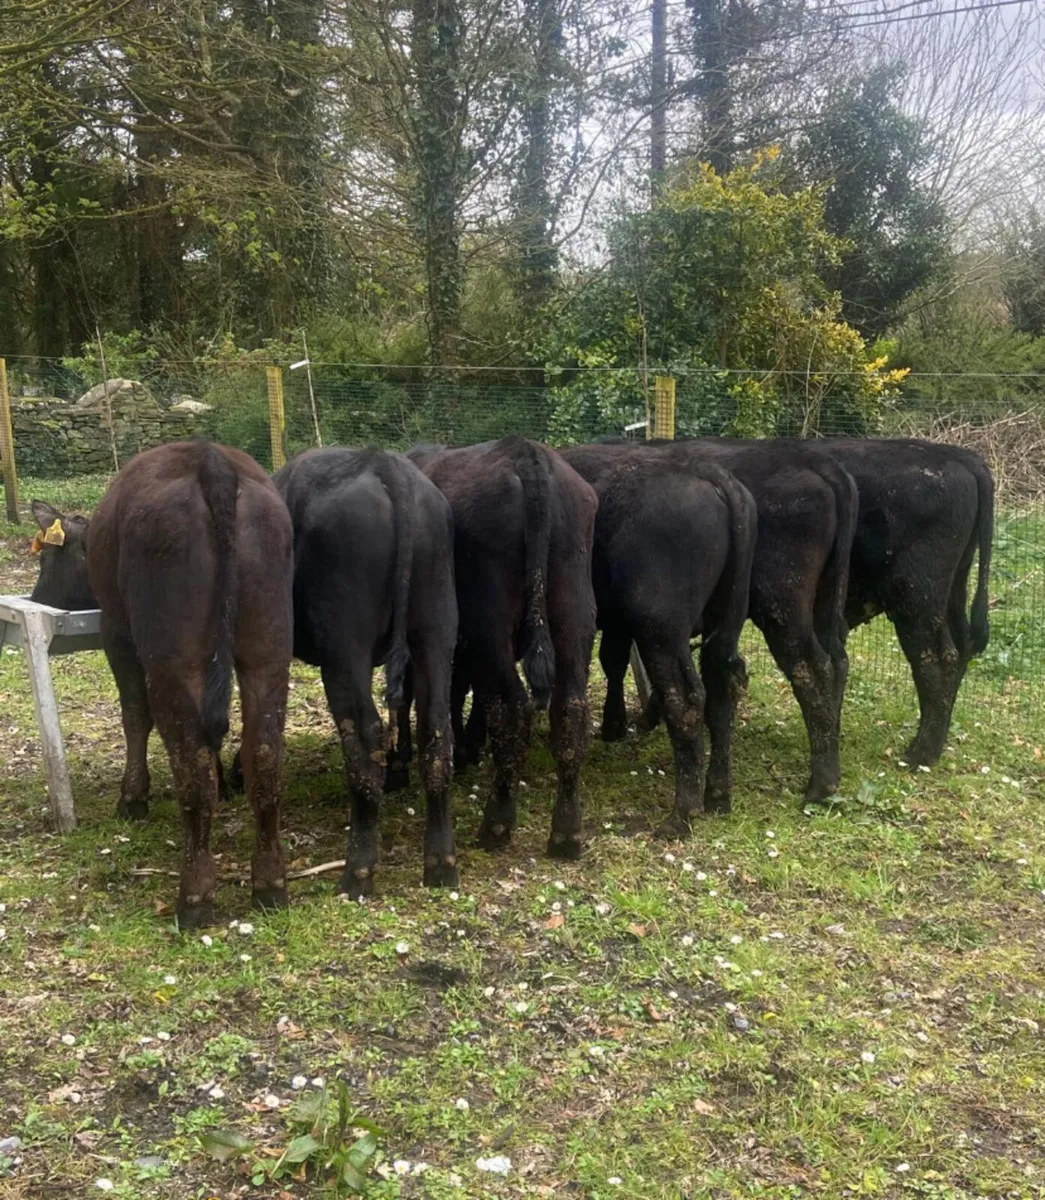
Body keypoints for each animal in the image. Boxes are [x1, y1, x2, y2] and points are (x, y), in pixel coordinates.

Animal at [30, 441, 294, 928]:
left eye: (44, 558)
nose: (39, 598)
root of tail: (211, 461)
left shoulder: (118, 634)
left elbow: (135, 716)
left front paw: (133, 797)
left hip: (172, 656)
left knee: (191, 769)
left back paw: (194, 895)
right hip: (268, 649)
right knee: (265, 757)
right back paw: (270, 883)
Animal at [274, 447, 458, 897]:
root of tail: (383, 463)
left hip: (345, 650)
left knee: (363, 735)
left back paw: (358, 868)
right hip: (436, 628)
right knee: (436, 731)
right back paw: (440, 862)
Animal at [407, 437, 597, 860]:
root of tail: (529, 456)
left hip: (488, 620)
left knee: (511, 708)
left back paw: (497, 823)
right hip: (573, 607)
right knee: (570, 710)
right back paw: (567, 831)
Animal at [559, 442, 757, 830]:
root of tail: (706, 471)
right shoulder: (617, 622)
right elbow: (613, 660)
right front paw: (614, 725)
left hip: (661, 631)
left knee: (686, 700)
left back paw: (682, 813)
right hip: (722, 625)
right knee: (721, 692)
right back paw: (717, 795)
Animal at [822, 438, 993, 766]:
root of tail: (962, 457)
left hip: (916, 595)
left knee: (936, 658)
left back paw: (918, 756)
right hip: (953, 589)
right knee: (961, 646)